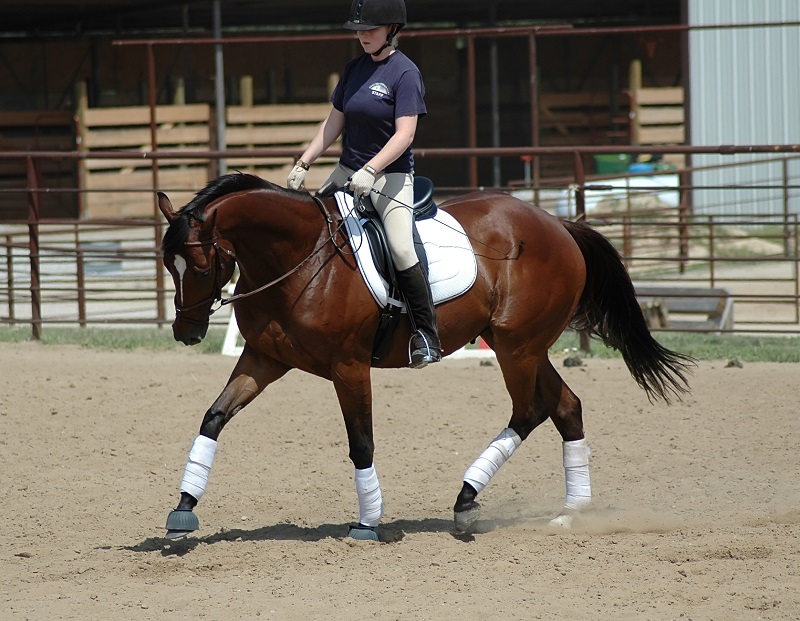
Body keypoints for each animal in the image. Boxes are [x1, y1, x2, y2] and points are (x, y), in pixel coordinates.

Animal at [158, 172, 692, 540]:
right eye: (168, 264)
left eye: (201, 266)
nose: (185, 333)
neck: (300, 258)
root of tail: (556, 223)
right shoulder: (264, 358)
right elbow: (214, 417)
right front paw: (184, 508)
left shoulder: (349, 367)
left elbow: (361, 443)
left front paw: (368, 522)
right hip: (523, 346)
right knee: (565, 406)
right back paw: (570, 512)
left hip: (516, 347)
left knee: (531, 409)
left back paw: (467, 501)